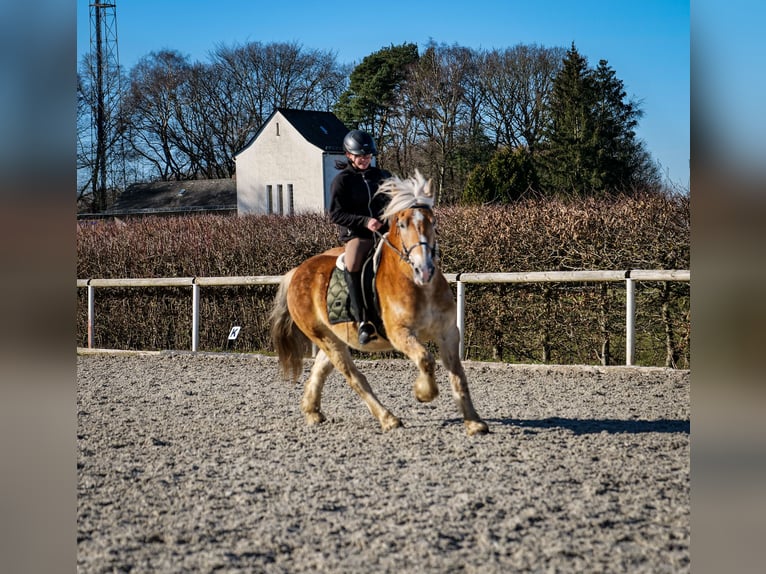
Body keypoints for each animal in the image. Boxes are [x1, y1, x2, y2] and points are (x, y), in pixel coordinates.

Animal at [268, 171, 486, 436]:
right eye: (402, 225)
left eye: (433, 222)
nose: (424, 270)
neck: (419, 286)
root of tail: (297, 271)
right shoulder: (400, 333)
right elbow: (426, 359)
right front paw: (423, 393)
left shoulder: (448, 333)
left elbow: (458, 376)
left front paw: (474, 422)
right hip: (324, 337)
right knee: (353, 377)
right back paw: (388, 418)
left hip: (334, 337)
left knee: (320, 369)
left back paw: (312, 412)